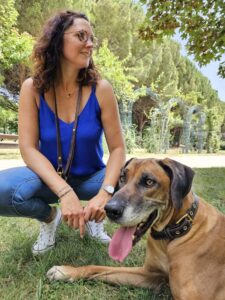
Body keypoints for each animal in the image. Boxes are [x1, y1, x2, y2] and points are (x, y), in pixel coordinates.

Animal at [47, 158, 225, 298]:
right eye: (122, 177)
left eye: (149, 182)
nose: (110, 209)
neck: (171, 236)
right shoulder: (149, 274)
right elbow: (98, 268)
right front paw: (66, 271)